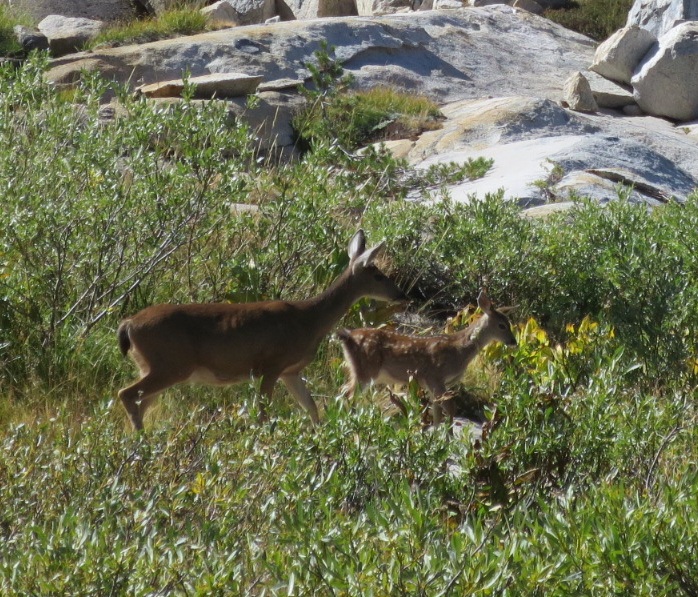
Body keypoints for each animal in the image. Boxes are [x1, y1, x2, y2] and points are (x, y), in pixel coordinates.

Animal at [117, 230, 406, 431]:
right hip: (170, 363)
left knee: (140, 401)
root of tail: (128, 324)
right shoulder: (270, 365)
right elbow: (264, 413)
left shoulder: (291, 370)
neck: (309, 320)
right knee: (126, 394)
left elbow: (311, 407)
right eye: (378, 275)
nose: (400, 293)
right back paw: (141, 443)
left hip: (153, 365)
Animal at [337, 289, 517, 426]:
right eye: (502, 325)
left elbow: (437, 413)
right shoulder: (435, 376)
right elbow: (449, 409)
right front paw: (447, 440)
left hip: (359, 369)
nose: (513, 342)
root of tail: (347, 337)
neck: (460, 350)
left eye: (510, 323)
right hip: (366, 369)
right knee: (348, 394)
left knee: (343, 391)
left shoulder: (436, 385)